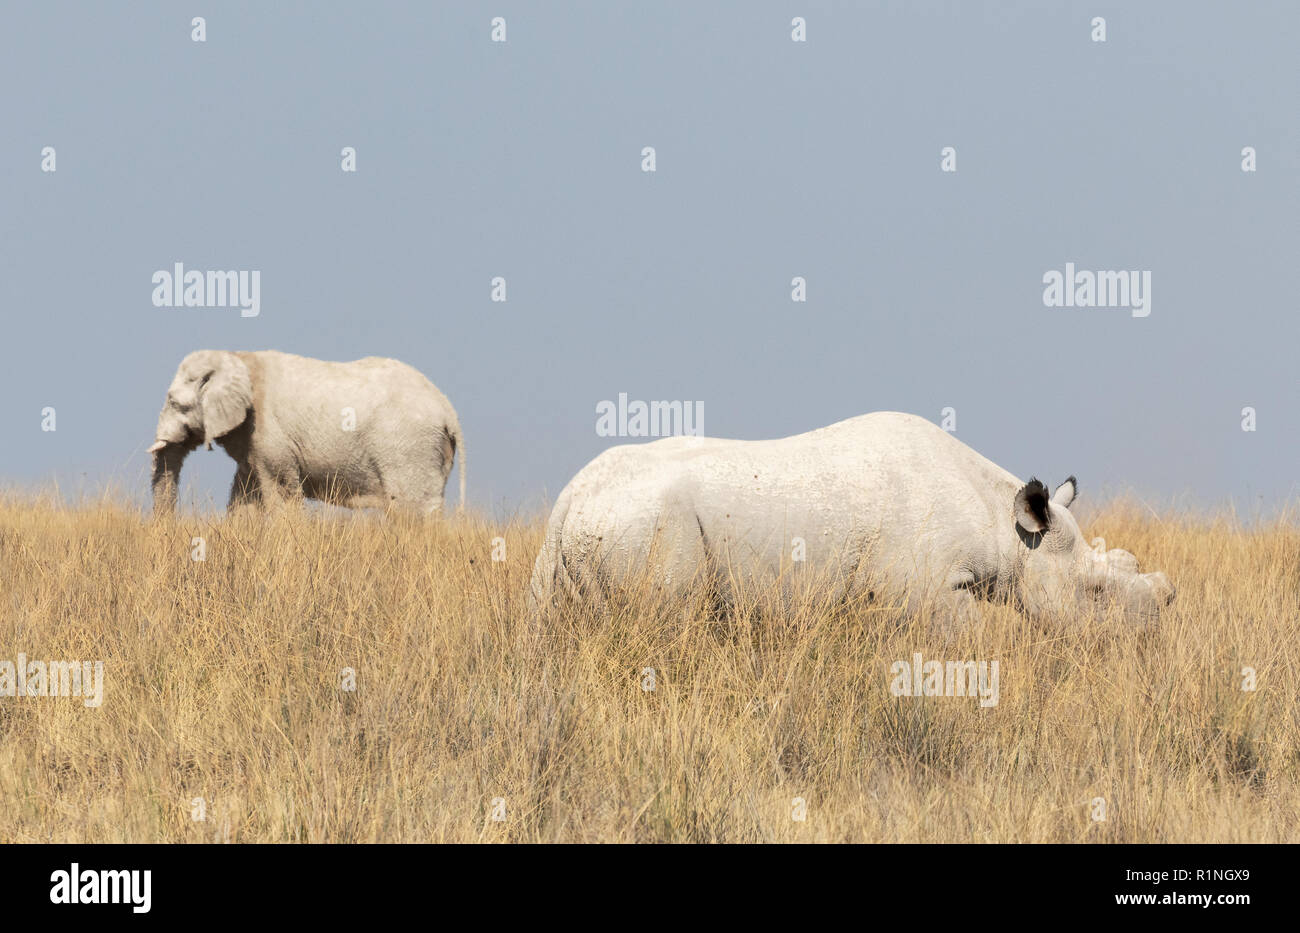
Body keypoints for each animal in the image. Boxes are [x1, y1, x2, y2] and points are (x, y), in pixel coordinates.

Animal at [149, 348, 465, 514]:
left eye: (174, 402)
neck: (237, 357)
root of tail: (448, 411)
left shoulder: (269, 432)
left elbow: (282, 495)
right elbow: (246, 495)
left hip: (408, 448)